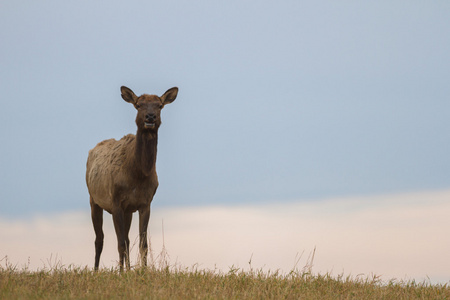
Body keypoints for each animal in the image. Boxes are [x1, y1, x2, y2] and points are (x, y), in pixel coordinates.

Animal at [85, 85, 178, 270]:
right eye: (138, 105)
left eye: (159, 105)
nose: (150, 117)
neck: (137, 175)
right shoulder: (115, 202)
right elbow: (120, 243)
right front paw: (120, 273)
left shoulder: (145, 203)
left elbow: (142, 244)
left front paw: (142, 271)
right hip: (94, 200)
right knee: (99, 239)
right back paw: (96, 270)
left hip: (127, 210)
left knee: (127, 239)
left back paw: (127, 269)